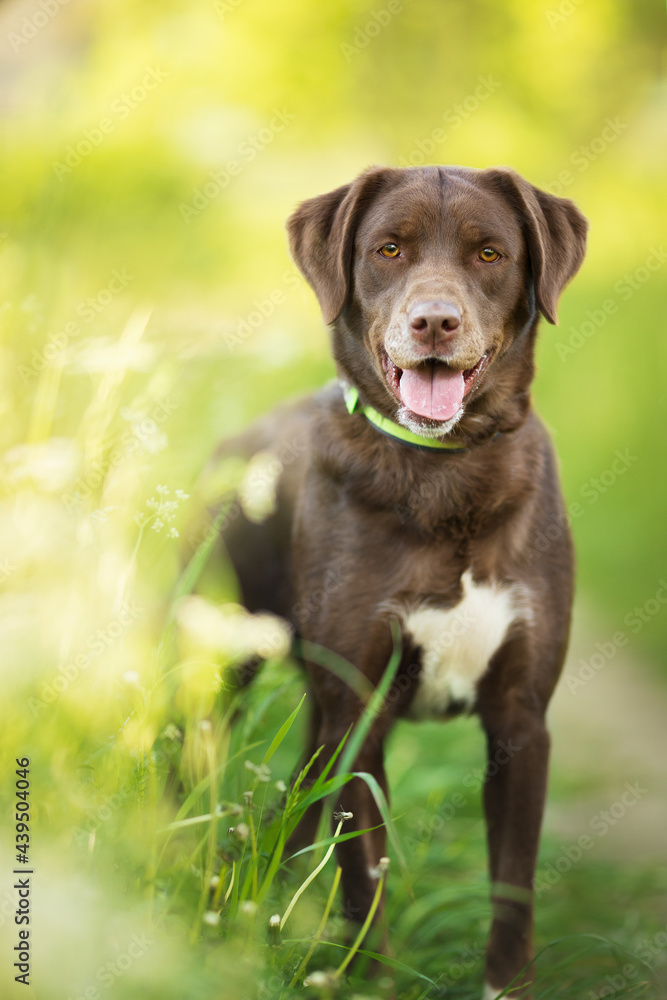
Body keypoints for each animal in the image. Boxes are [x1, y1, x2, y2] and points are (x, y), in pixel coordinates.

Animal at [211, 168, 588, 996]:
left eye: (489, 252)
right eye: (387, 249)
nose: (435, 323)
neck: (447, 474)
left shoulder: (521, 720)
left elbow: (512, 887)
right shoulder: (359, 714)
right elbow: (365, 880)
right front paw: (371, 976)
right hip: (219, 658)